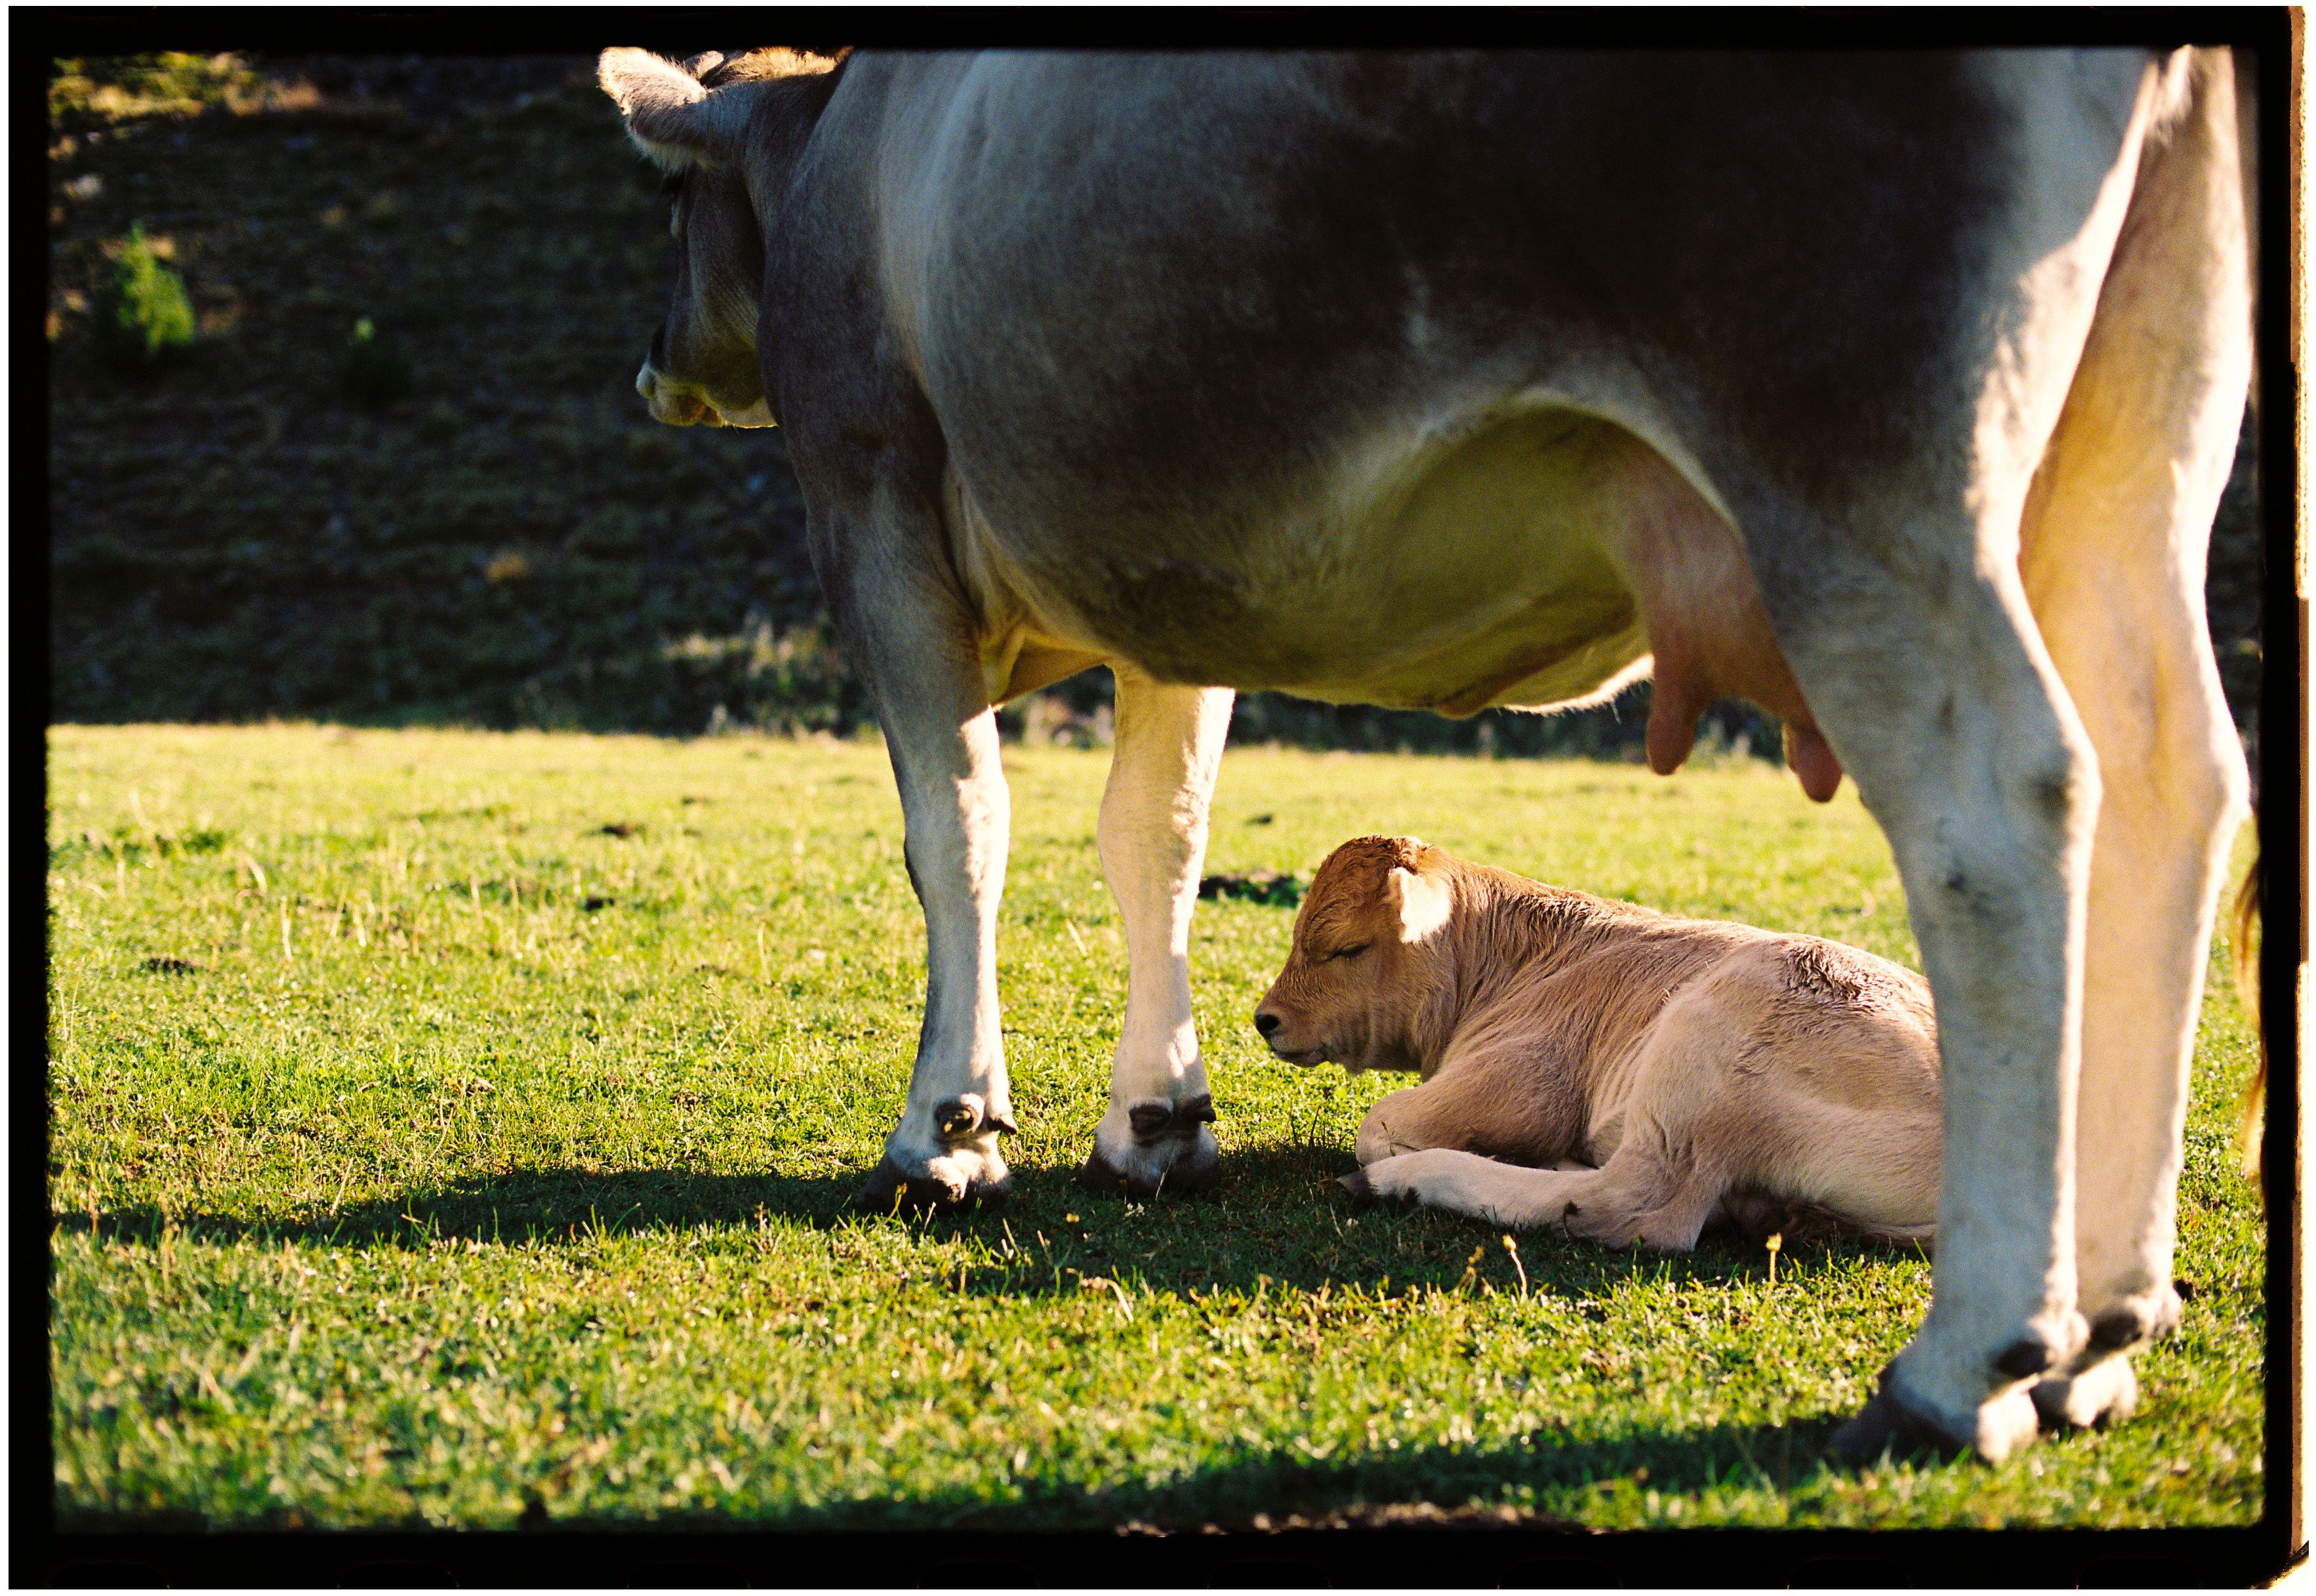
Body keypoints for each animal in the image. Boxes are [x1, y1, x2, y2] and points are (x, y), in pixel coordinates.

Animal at [596, 47, 2255, 1465]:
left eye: (667, 204)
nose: (651, 364)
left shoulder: (874, 505)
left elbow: (958, 826)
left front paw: (946, 1130)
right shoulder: (1169, 581)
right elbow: (1158, 837)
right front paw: (1157, 1116)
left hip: (1862, 471)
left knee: (2001, 816)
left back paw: (1971, 1353)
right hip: (2124, 451)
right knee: (2171, 786)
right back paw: (2102, 1327)